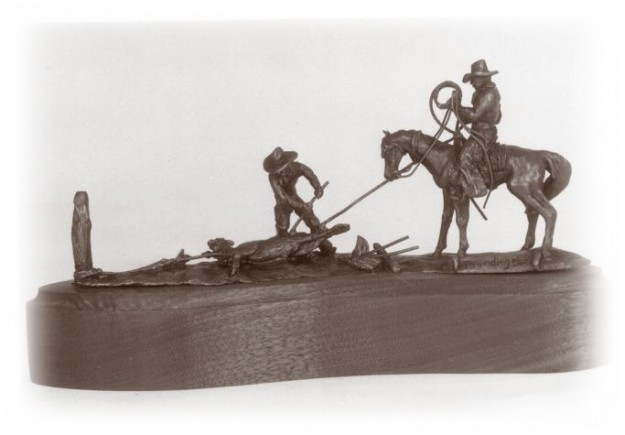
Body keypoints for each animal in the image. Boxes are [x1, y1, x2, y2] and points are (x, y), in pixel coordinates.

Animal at [380, 129, 572, 258]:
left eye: (387, 151)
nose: (389, 176)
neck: (443, 157)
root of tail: (540, 155)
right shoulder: (447, 192)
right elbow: (446, 219)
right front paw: (437, 251)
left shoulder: (459, 194)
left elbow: (461, 220)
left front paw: (461, 251)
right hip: (527, 191)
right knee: (534, 213)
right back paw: (526, 247)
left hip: (523, 189)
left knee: (549, 213)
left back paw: (545, 251)